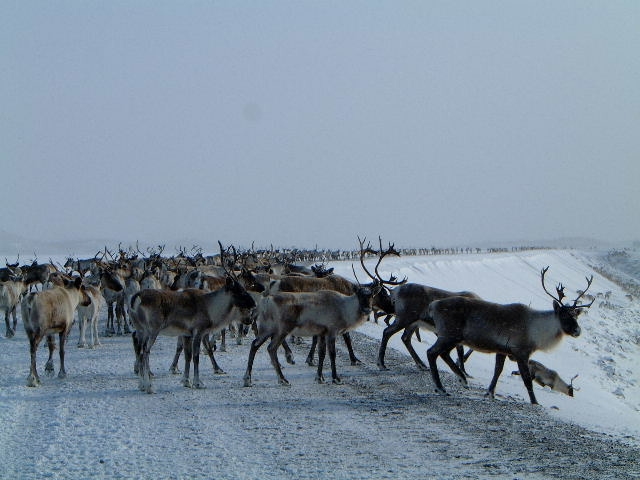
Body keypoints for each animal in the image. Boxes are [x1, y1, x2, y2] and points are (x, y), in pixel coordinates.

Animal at [129, 242, 257, 394]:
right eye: (239, 290)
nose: (254, 303)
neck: (210, 306)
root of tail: (136, 297)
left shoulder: (187, 334)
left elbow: (187, 356)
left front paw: (186, 381)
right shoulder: (198, 331)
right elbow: (196, 357)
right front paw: (197, 382)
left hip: (141, 330)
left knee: (139, 349)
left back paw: (141, 384)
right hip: (152, 331)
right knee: (145, 352)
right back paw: (149, 386)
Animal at [426, 267, 594, 404]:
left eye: (576, 316)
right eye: (564, 315)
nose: (577, 331)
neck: (537, 330)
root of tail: (434, 304)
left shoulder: (502, 350)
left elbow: (497, 371)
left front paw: (490, 393)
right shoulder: (521, 352)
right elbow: (527, 380)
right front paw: (535, 402)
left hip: (453, 338)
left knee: (444, 354)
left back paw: (461, 378)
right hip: (449, 335)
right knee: (432, 352)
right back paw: (441, 388)